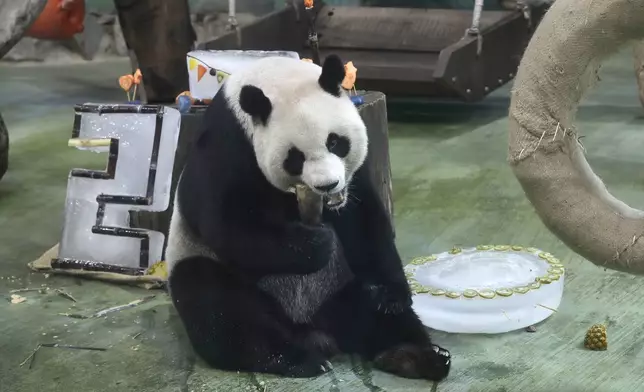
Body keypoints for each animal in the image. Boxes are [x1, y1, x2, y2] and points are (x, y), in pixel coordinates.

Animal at [165, 54, 452, 380]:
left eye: (335, 142)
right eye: (295, 158)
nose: (327, 185)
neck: (273, 77)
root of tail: (313, 328)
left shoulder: (352, 181)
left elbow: (364, 220)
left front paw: (391, 296)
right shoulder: (226, 146)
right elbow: (225, 224)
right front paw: (317, 243)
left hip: (339, 288)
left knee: (373, 314)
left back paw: (411, 354)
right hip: (212, 267)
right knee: (222, 309)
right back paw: (296, 358)